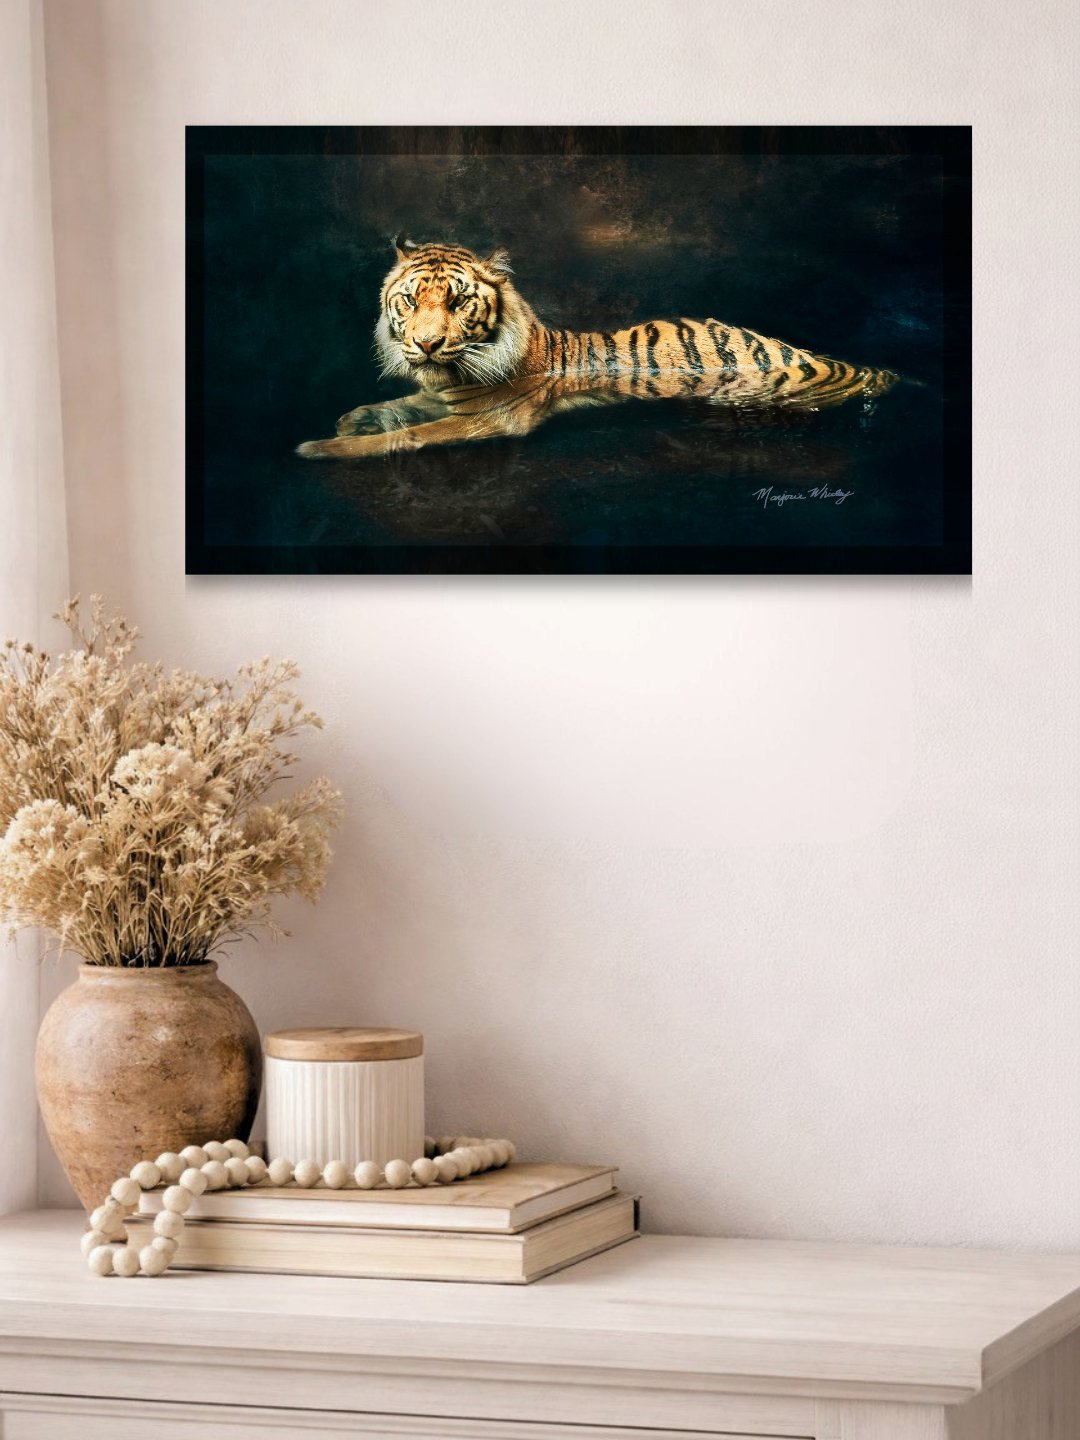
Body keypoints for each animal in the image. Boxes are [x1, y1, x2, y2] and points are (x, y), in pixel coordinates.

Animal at [296, 237, 898, 461]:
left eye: (458, 301)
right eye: (410, 300)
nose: (426, 343)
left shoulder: (489, 417)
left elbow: (410, 435)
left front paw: (322, 447)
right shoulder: (446, 396)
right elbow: (402, 408)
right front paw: (353, 417)